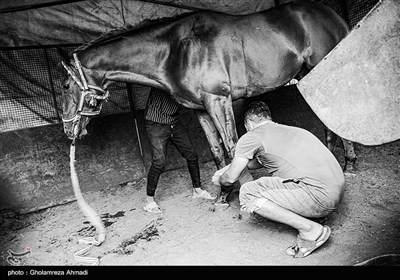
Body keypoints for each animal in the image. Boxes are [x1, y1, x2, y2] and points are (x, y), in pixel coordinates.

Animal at [58, 0, 356, 201]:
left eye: (65, 85)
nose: (68, 128)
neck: (176, 50)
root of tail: (332, 14)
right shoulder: (201, 108)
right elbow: (216, 150)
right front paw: (223, 194)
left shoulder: (218, 100)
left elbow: (232, 147)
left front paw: (235, 189)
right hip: (308, 75)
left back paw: (350, 165)